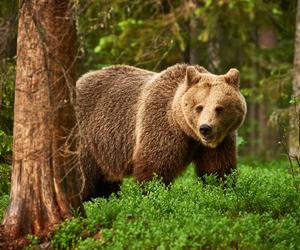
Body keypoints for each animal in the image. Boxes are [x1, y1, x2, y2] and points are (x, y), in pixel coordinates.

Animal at [76, 63, 247, 200]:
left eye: (219, 108)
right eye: (199, 107)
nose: (205, 128)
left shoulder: (221, 142)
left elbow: (217, 169)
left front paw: (220, 191)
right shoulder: (161, 126)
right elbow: (155, 168)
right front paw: (154, 195)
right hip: (87, 137)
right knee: (85, 177)